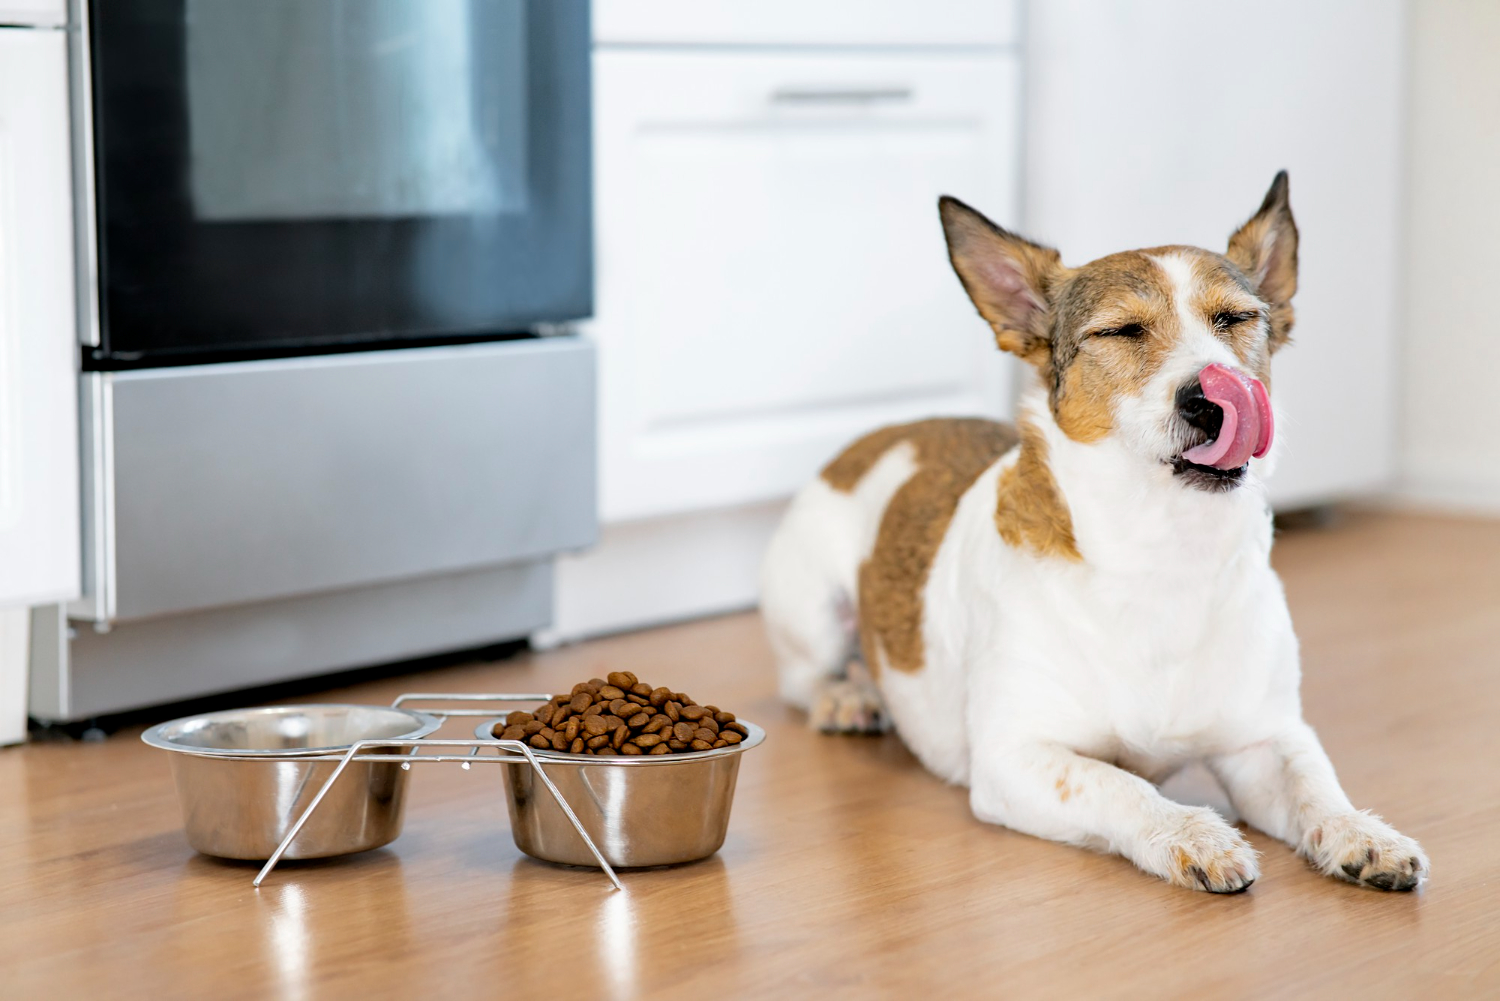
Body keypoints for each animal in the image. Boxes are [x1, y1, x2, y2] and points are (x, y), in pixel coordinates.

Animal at [762, 172, 1428, 894]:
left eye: (1234, 319)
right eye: (1122, 330)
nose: (1210, 398)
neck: (1163, 552)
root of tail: (889, 430)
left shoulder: (1264, 739)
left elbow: (1314, 783)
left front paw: (1362, 832)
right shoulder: (1015, 758)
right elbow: (1120, 785)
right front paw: (1191, 832)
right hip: (814, 612)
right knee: (802, 678)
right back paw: (846, 696)